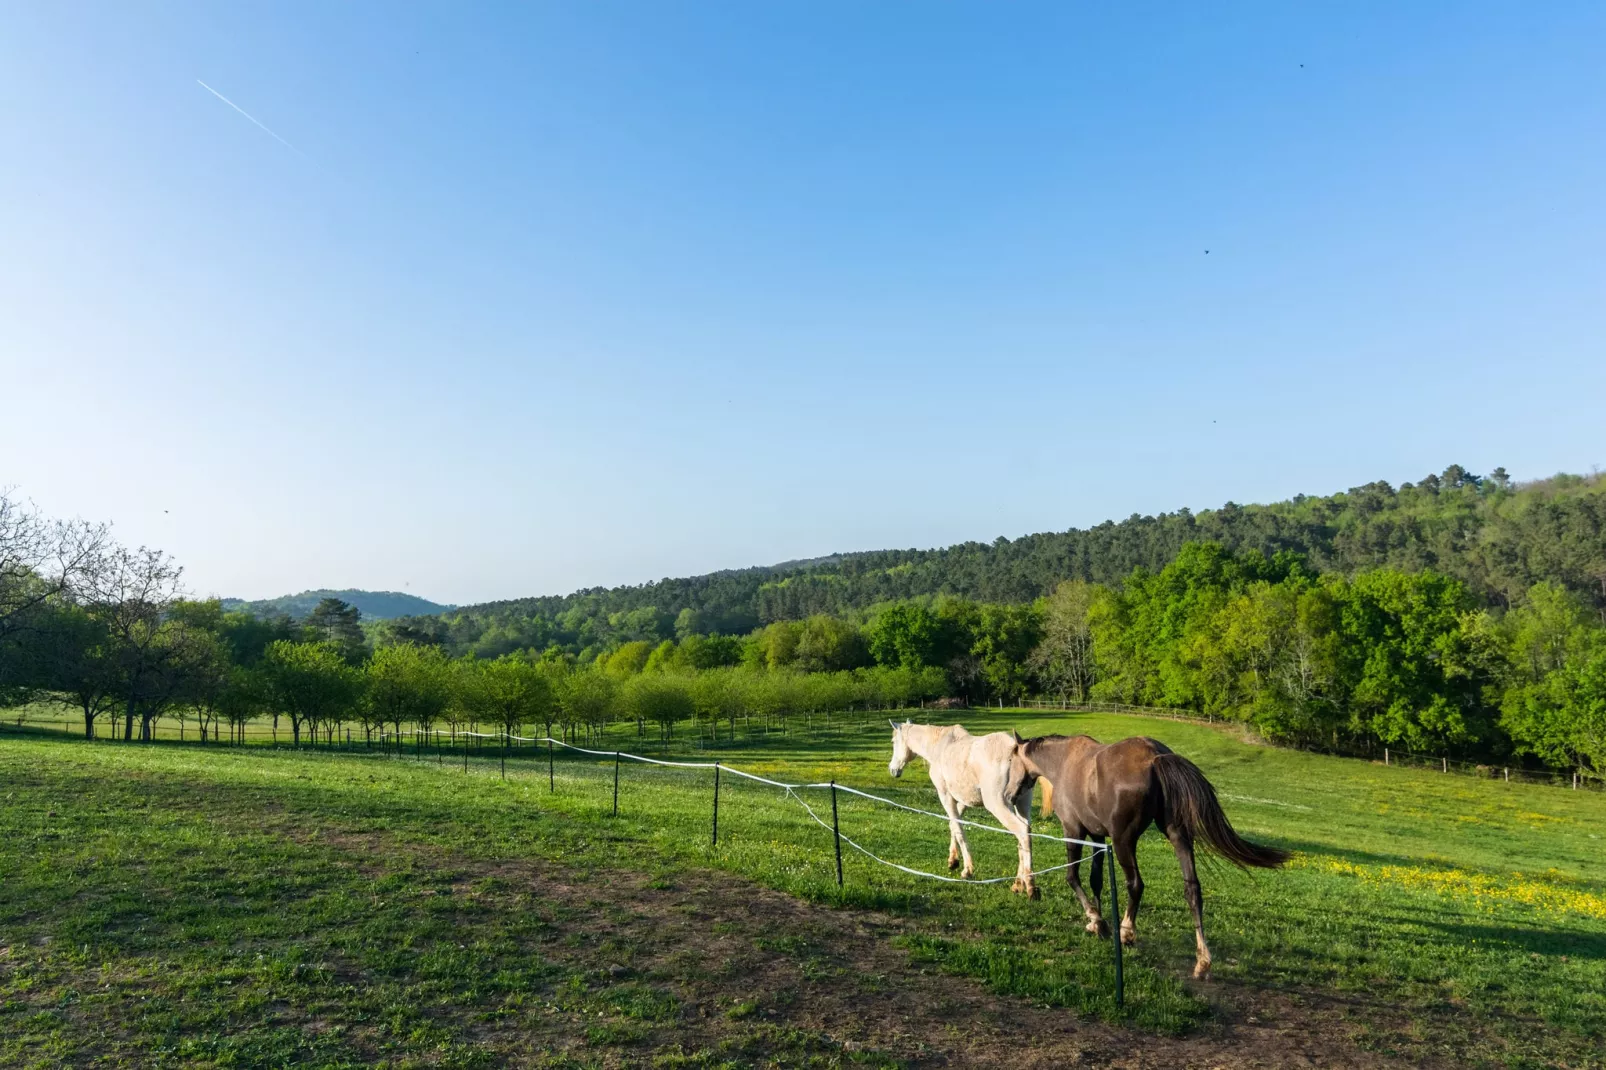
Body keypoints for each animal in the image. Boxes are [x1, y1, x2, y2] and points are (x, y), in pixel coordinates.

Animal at [886, 716, 1034, 893]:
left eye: (893, 741)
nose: (893, 770)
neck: (940, 747)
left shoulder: (945, 795)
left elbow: (958, 828)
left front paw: (967, 870)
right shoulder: (963, 801)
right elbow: (953, 825)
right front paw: (953, 861)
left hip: (999, 805)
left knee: (1021, 832)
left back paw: (1030, 886)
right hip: (1022, 806)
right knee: (1025, 834)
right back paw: (1018, 884)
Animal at [1014, 732, 1291, 976]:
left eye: (1013, 758)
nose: (1014, 794)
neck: (1063, 761)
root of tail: (1156, 756)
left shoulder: (1074, 831)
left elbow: (1073, 877)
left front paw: (1097, 920)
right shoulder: (1098, 837)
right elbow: (1096, 880)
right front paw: (1097, 922)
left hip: (1124, 841)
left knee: (1135, 884)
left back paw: (1126, 932)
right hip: (1178, 836)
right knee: (1192, 889)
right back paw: (1202, 960)